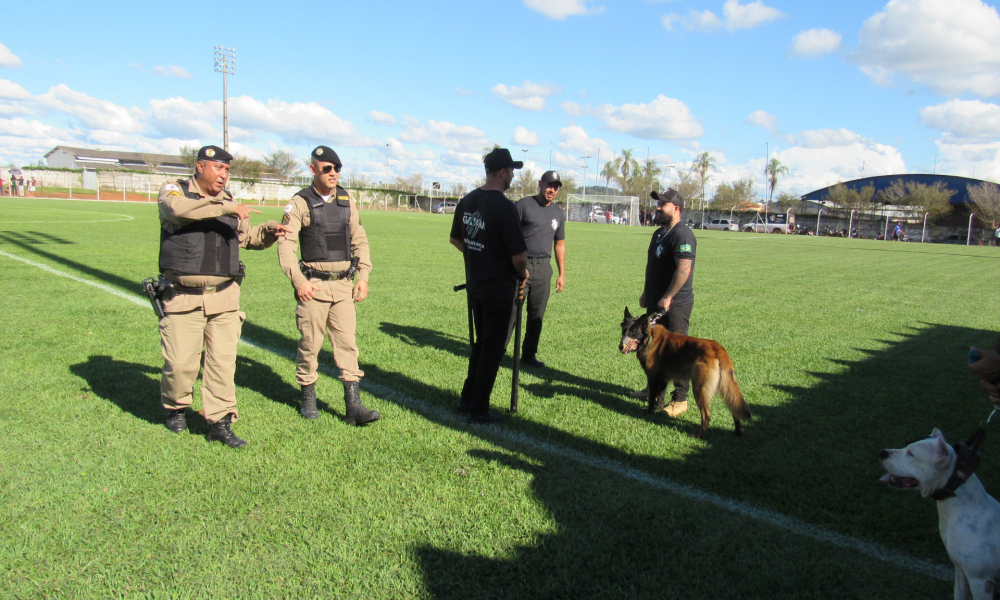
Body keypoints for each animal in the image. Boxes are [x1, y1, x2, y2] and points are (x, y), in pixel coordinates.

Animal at [616, 308, 752, 438]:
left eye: (634, 333)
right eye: (624, 331)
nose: (620, 346)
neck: (650, 338)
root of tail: (717, 349)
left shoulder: (653, 378)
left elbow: (652, 398)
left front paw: (650, 412)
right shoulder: (664, 379)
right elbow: (660, 396)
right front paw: (659, 410)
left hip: (699, 389)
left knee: (706, 415)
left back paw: (699, 435)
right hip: (726, 387)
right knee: (734, 410)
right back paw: (737, 432)